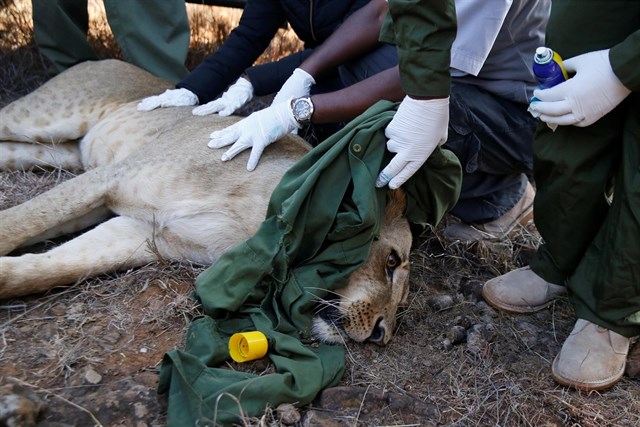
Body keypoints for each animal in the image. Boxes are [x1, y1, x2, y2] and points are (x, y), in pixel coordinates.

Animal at [0, 60, 412, 346]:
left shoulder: (141, 233)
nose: (382, 334)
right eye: (391, 261)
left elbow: (47, 270)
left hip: (54, 153)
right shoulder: (111, 177)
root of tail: (105, 58)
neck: (260, 227)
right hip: (43, 117)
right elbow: (21, 221)